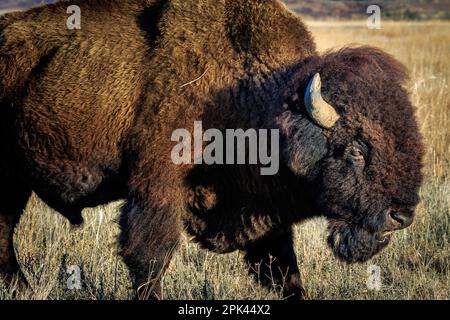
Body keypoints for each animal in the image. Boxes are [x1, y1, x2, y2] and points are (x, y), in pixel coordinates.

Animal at [0, 0, 422, 300]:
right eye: (356, 151)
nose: (401, 215)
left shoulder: (266, 214)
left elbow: (284, 270)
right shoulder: (156, 192)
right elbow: (149, 259)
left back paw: (19, 288)